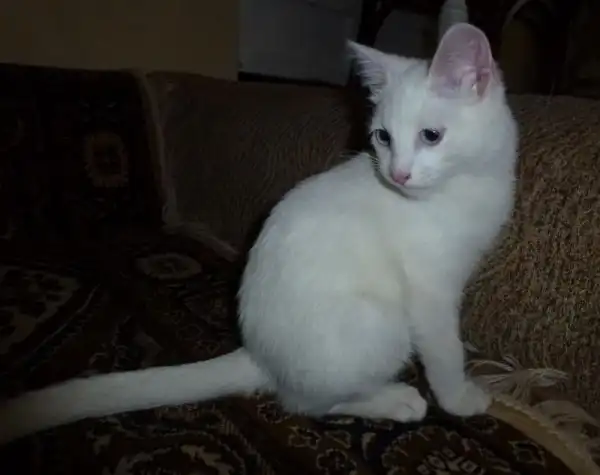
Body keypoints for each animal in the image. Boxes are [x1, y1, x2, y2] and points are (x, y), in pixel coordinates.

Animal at [0, 6, 518, 444]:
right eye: (383, 137)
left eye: (430, 136)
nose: (398, 174)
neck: (467, 187)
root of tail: (258, 353)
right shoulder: (429, 290)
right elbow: (444, 350)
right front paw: (459, 397)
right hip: (381, 324)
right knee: (309, 403)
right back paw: (394, 400)